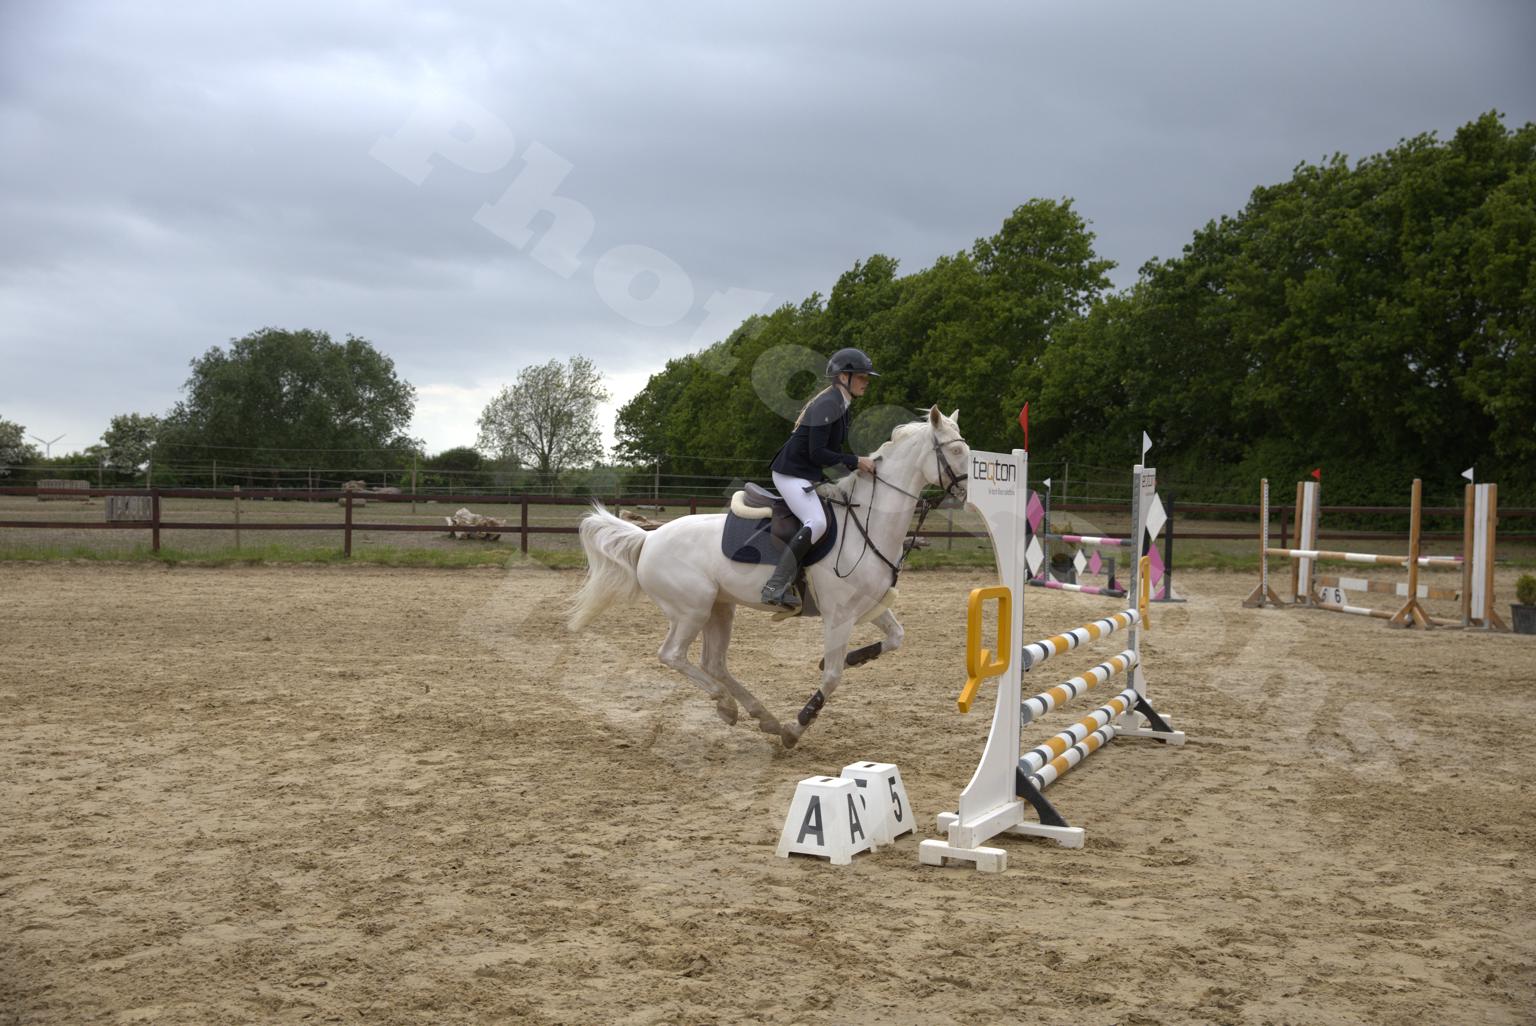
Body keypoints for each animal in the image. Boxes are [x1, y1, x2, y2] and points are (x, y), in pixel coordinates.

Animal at [567, 405, 970, 747]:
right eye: (955, 451)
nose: (965, 495)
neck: (867, 524)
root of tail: (649, 538)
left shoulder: (869, 605)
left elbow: (895, 639)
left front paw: (852, 660)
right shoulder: (839, 616)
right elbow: (832, 676)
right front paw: (797, 726)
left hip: (719, 608)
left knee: (713, 663)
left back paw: (760, 715)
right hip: (691, 609)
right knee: (672, 655)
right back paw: (728, 705)